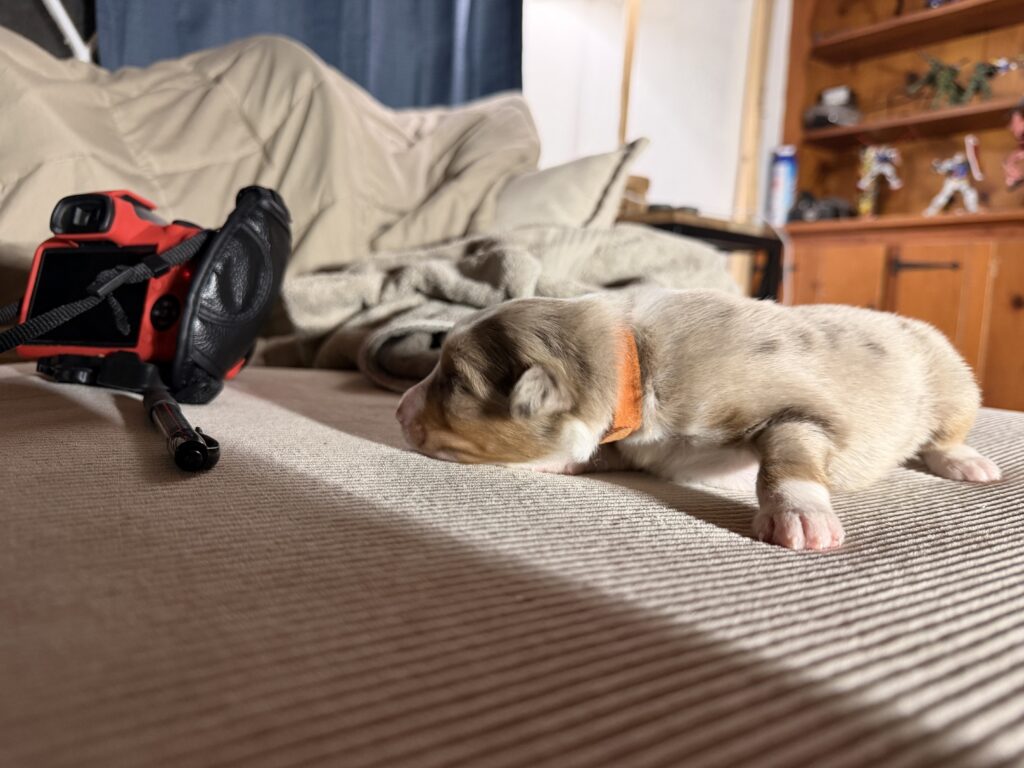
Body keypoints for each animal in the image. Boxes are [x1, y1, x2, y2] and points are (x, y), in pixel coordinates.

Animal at [395, 289, 1001, 551]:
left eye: (455, 382)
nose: (398, 410)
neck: (636, 365)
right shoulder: (630, 438)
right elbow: (601, 450)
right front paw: (557, 462)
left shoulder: (797, 409)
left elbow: (787, 454)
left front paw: (800, 515)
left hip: (952, 380)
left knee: (948, 433)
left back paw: (967, 462)